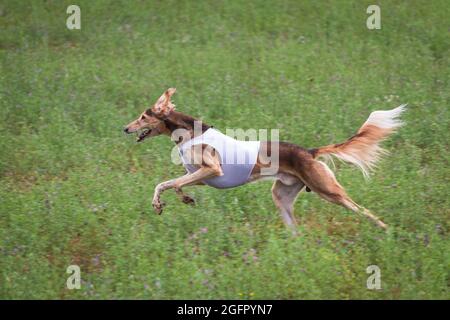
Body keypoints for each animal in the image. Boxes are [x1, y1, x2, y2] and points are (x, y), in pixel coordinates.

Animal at [125, 87, 406, 230]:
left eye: (143, 116)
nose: (125, 128)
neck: (189, 133)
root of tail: (309, 151)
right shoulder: (199, 176)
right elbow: (165, 184)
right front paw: (163, 203)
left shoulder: (212, 170)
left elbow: (173, 183)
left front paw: (179, 199)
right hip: (282, 196)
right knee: (295, 230)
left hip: (328, 190)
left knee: (361, 209)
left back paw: (385, 230)